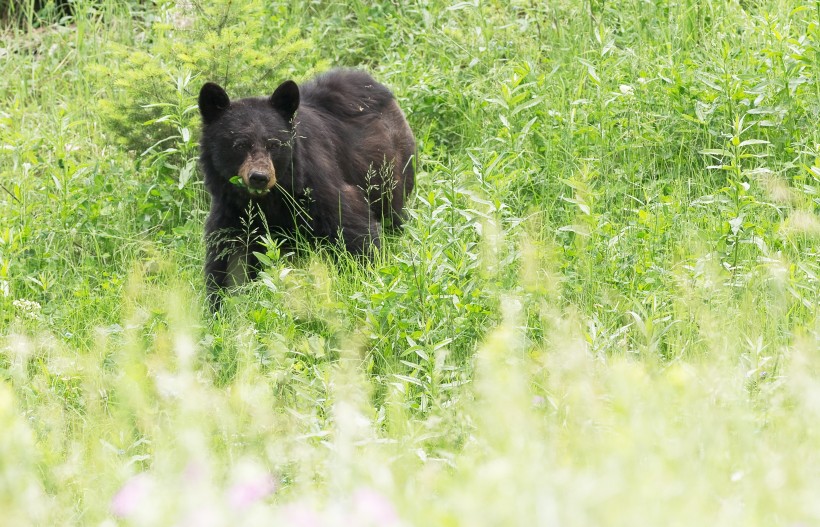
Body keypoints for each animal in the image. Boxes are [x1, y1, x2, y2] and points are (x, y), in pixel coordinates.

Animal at [199, 68, 416, 312]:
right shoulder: (231, 208)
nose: (259, 178)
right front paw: (220, 305)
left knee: (392, 215)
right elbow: (226, 256)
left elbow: (352, 226)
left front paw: (369, 277)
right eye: (239, 145)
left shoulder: (316, 183)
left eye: (274, 144)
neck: (269, 199)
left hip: (389, 171)